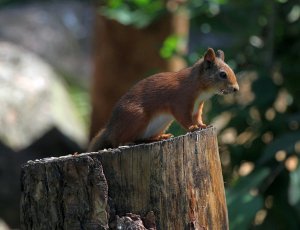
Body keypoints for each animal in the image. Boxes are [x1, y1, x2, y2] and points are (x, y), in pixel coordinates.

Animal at [88, 47, 239, 151]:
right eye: (223, 74)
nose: (236, 89)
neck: (199, 88)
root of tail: (110, 129)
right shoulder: (180, 100)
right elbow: (184, 117)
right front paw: (192, 127)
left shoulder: (197, 107)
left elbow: (197, 118)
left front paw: (203, 125)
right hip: (136, 117)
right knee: (119, 140)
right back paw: (127, 142)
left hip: (160, 125)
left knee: (141, 138)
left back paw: (160, 137)